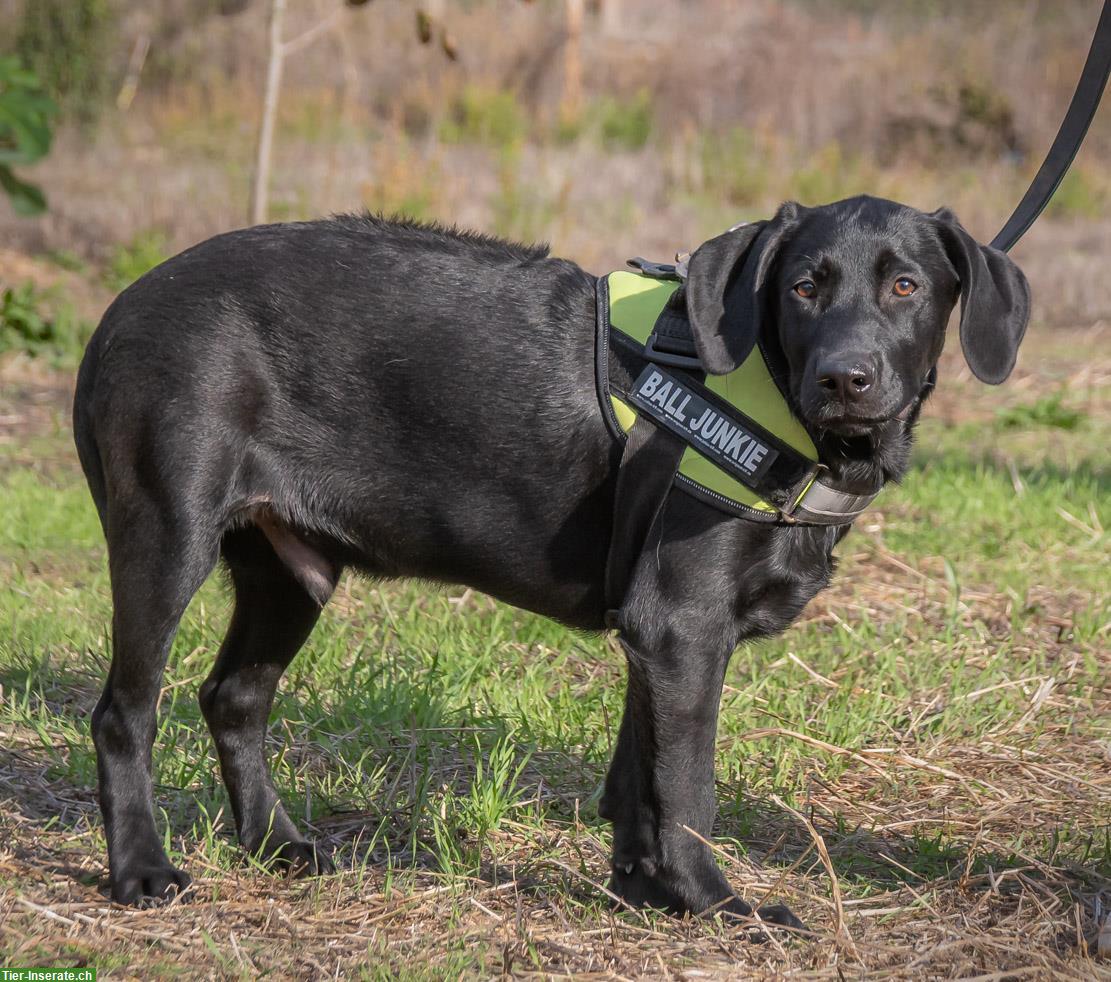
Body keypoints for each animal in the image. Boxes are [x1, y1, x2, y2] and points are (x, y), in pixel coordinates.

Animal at [69, 195, 1026, 924]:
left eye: (905, 286)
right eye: (801, 287)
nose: (843, 378)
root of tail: (118, 309)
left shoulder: (654, 635)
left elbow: (636, 777)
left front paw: (645, 891)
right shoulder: (680, 626)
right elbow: (687, 790)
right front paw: (716, 904)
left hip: (290, 572)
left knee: (234, 697)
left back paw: (275, 844)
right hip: (168, 535)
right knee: (125, 714)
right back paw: (140, 870)